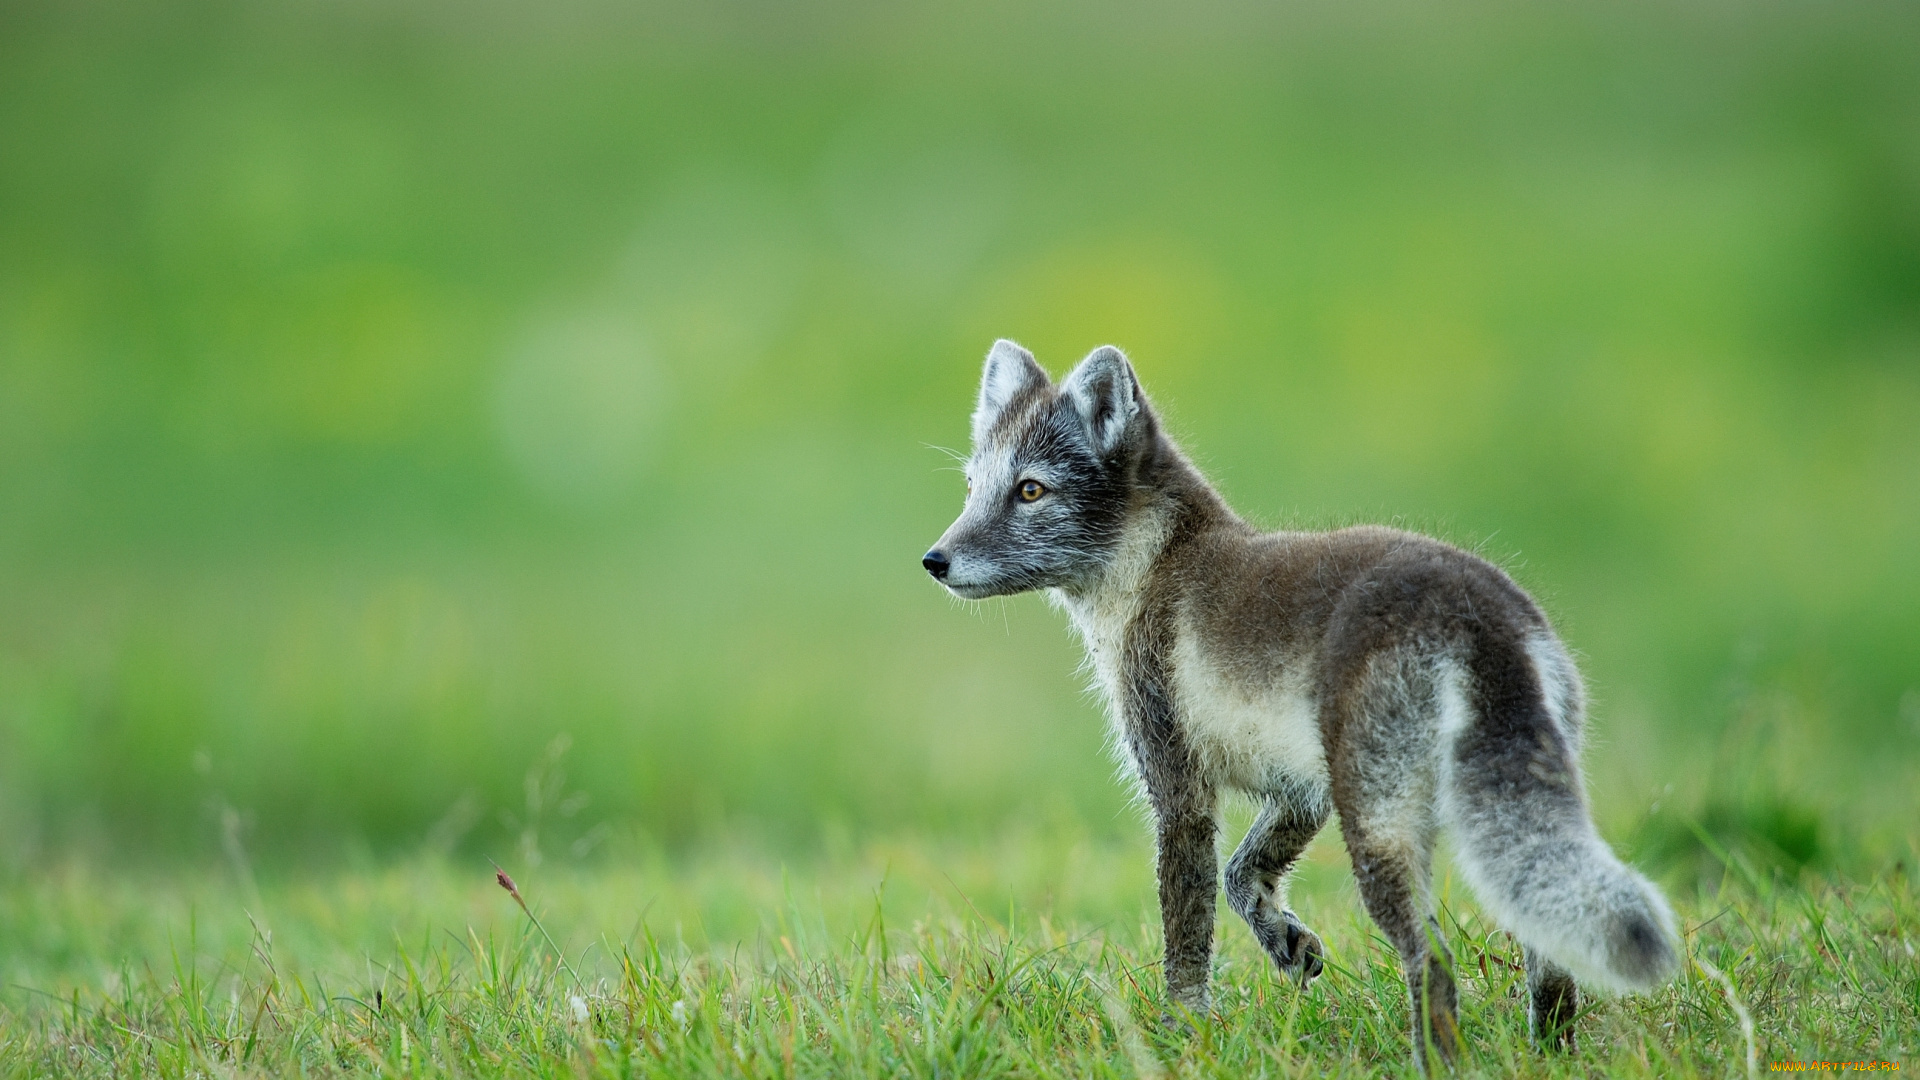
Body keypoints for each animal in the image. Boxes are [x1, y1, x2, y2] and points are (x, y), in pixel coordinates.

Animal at [921, 340, 1674, 1060]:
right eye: (972, 486)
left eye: (1030, 490)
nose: (934, 560)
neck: (1157, 567)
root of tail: (1478, 616)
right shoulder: (1300, 787)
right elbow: (1241, 874)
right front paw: (1287, 942)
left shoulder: (1179, 788)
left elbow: (1187, 935)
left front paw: (1181, 1034)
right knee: (1551, 963)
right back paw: (1550, 1055)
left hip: (1378, 827)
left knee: (1433, 959)